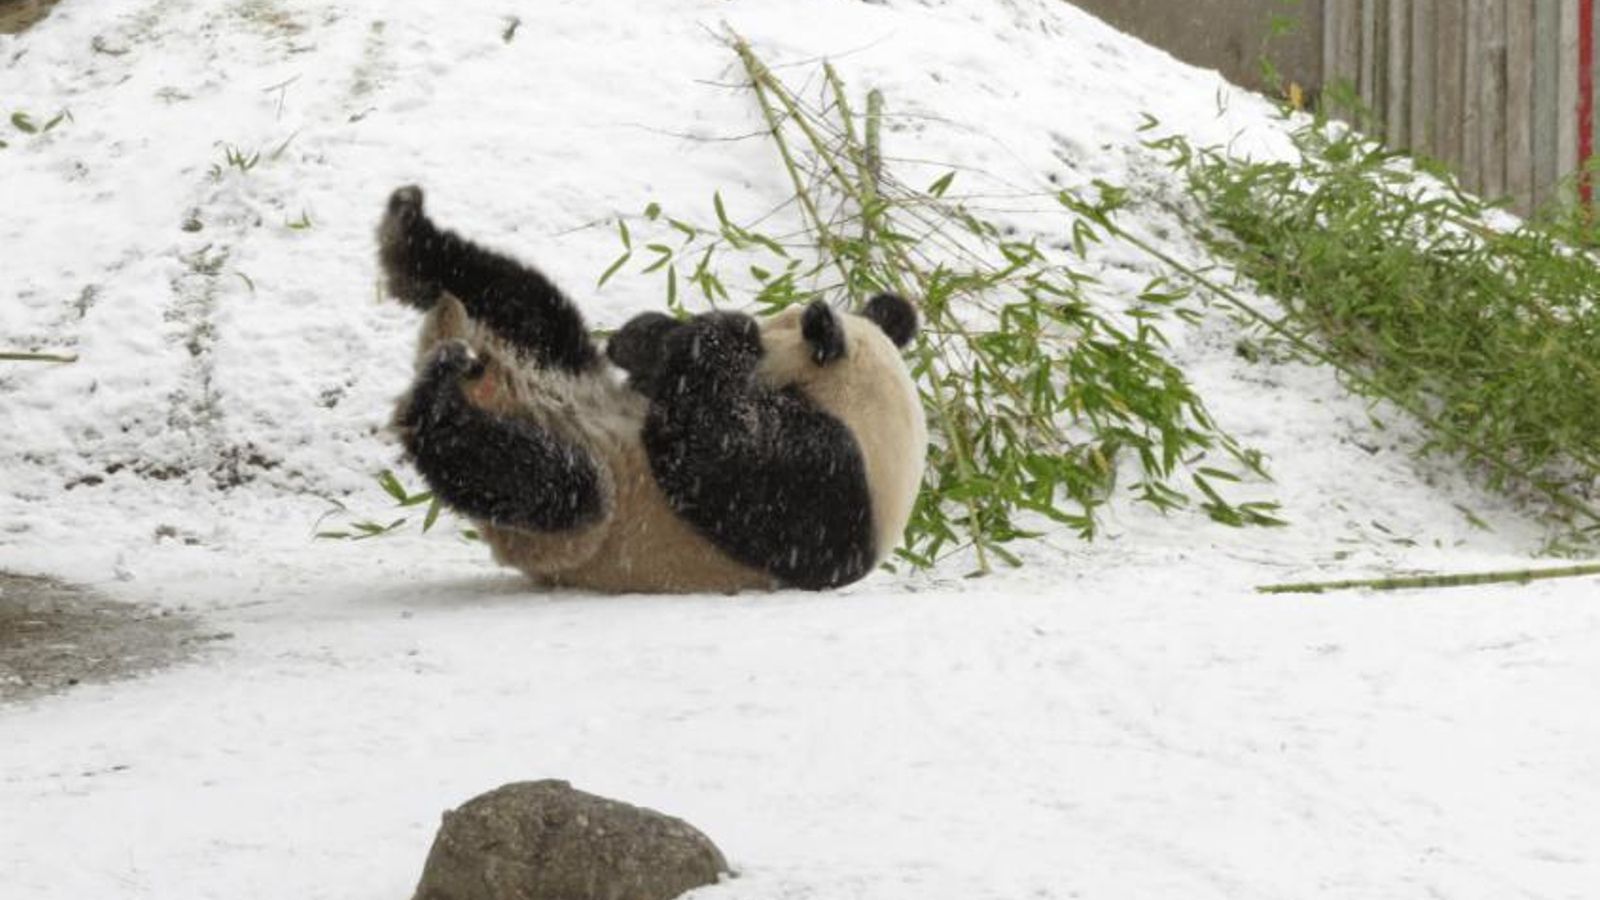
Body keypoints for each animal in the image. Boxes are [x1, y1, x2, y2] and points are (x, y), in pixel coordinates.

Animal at [376, 186, 928, 593]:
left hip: (580, 523)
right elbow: (659, 369)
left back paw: (437, 401)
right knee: (526, 300)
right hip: (549, 356)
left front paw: (724, 336)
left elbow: (712, 450)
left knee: (547, 482)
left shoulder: (825, 490)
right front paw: (651, 336)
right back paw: (408, 235)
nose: (755, 326)